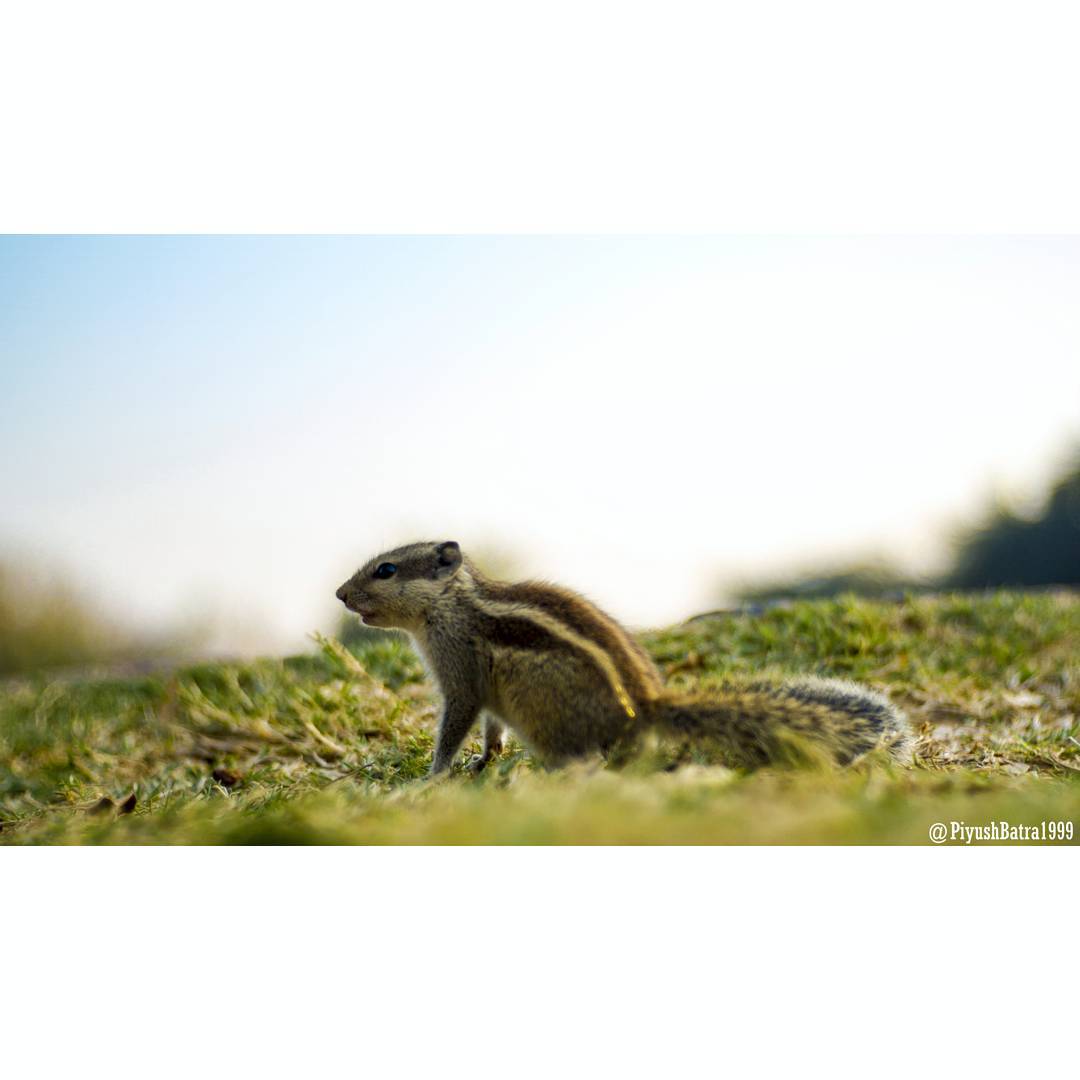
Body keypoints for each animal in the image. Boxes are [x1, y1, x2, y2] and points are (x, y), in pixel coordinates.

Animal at [335, 540, 912, 775]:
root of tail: (648, 706)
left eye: (386, 570)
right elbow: (490, 729)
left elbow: (456, 723)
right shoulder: (481, 691)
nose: (339, 594)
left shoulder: (459, 673)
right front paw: (483, 760)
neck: (450, 605)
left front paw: (434, 775)